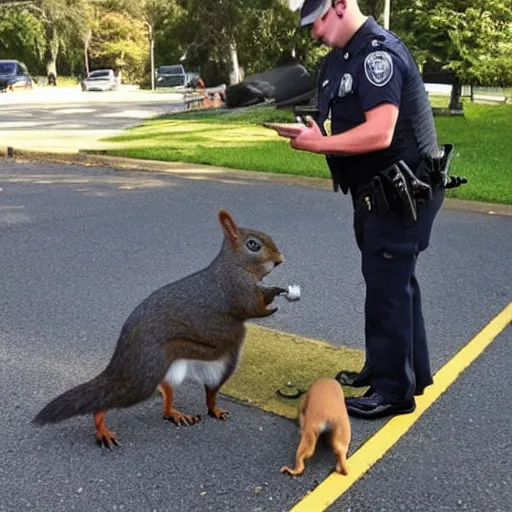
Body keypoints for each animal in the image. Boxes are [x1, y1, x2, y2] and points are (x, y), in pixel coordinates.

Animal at [34, 208, 290, 448]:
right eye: (253, 245)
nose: (280, 259)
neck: (235, 265)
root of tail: (123, 353)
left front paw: (277, 291)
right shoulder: (235, 288)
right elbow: (251, 309)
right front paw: (271, 304)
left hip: (208, 363)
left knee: (189, 391)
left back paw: (186, 412)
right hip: (151, 366)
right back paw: (102, 427)